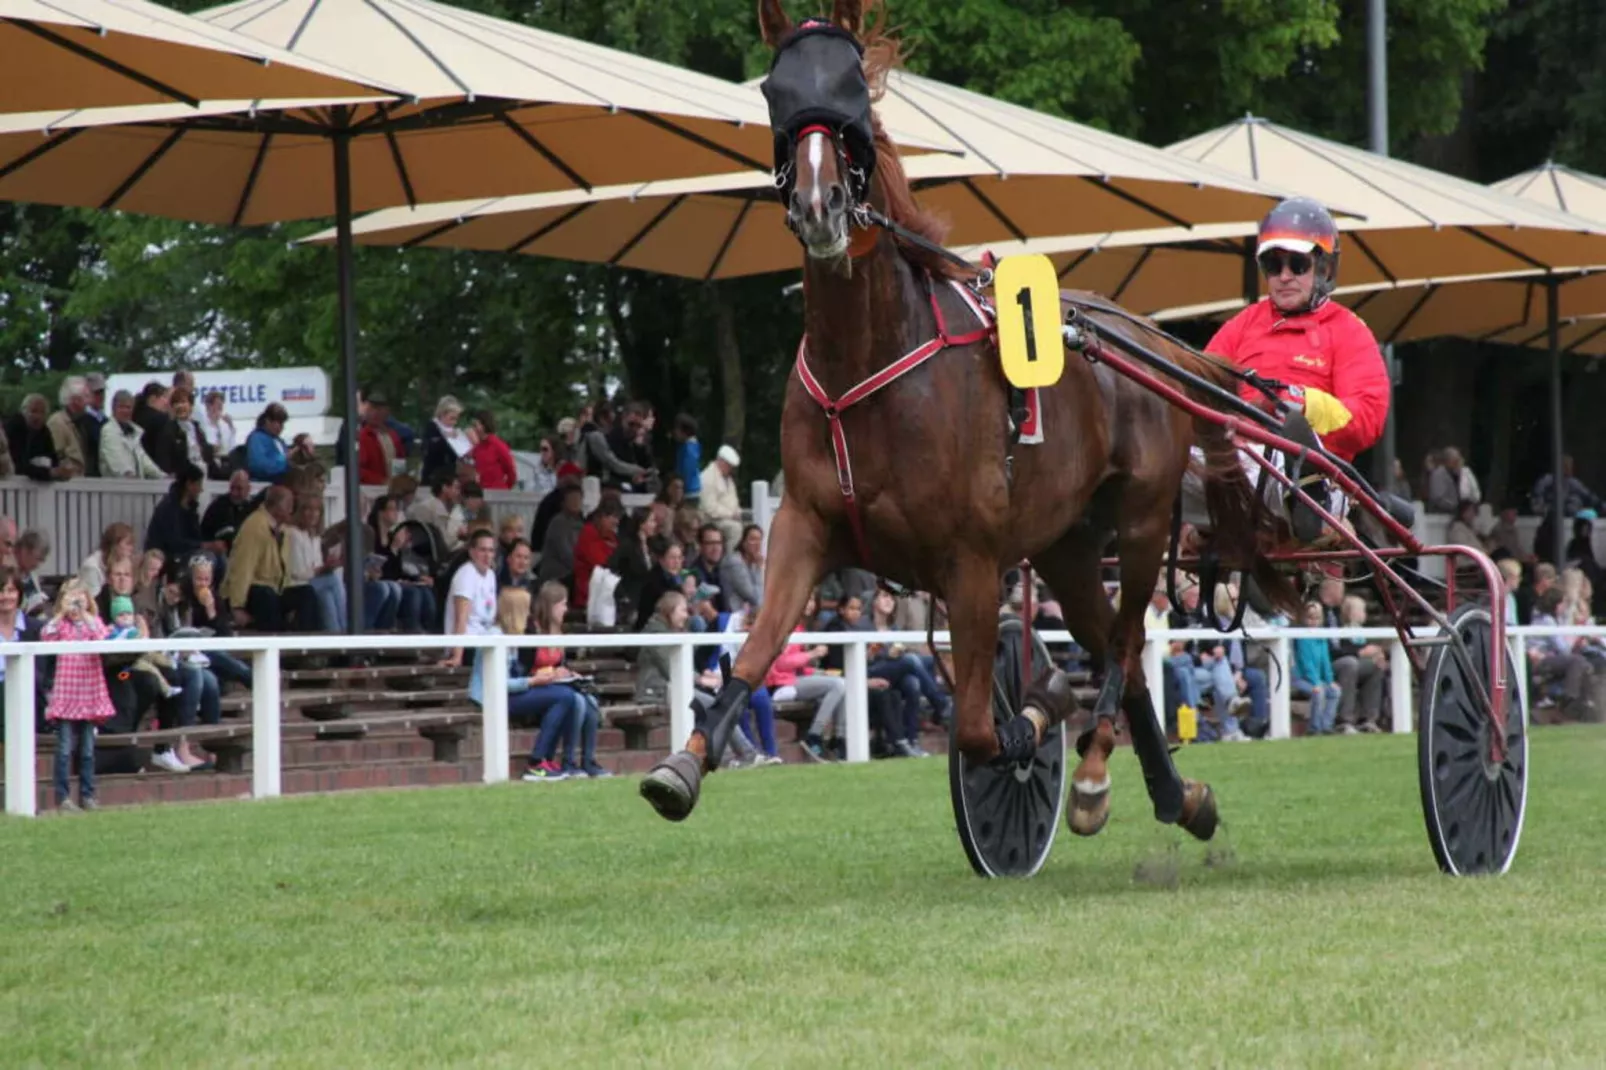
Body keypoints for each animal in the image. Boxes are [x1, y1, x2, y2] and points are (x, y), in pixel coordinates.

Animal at [639, 0, 1291, 835]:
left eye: (851, 89)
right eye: (774, 90)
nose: (819, 207)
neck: (868, 363)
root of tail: (1147, 338)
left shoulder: (973, 561)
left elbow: (984, 726)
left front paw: (1039, 711)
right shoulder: (805, 527)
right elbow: (755, 651)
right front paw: (684, 763)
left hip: (1143, 521)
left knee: (1123, 645)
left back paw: (1094, 772)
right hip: (1066, 546)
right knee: (1119, 647)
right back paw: (1177, 795)